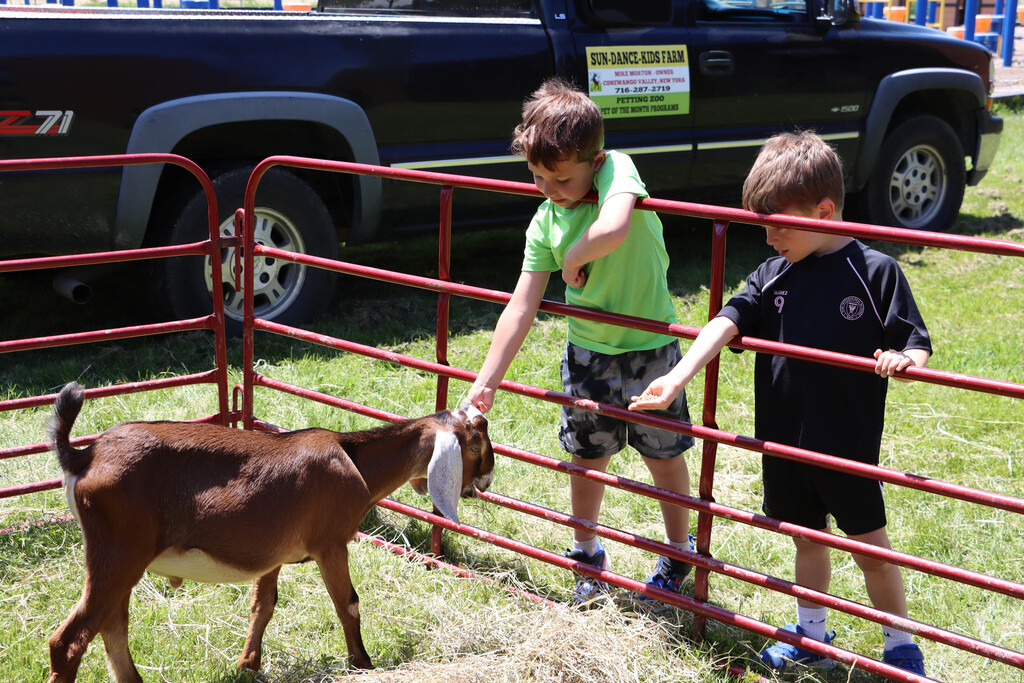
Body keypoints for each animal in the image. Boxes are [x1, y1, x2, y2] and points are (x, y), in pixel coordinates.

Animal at [45, 381, 494, 682]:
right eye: (475, 446)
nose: (487, 481)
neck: (355, 464)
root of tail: (85, 456)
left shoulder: (272, 554)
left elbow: (263, 605)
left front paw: (248, 665)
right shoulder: (331, 542)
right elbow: (347, 603)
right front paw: (363, 664)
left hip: (118, 560)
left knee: (111, 628)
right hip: (118, 553)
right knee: (68, 641)